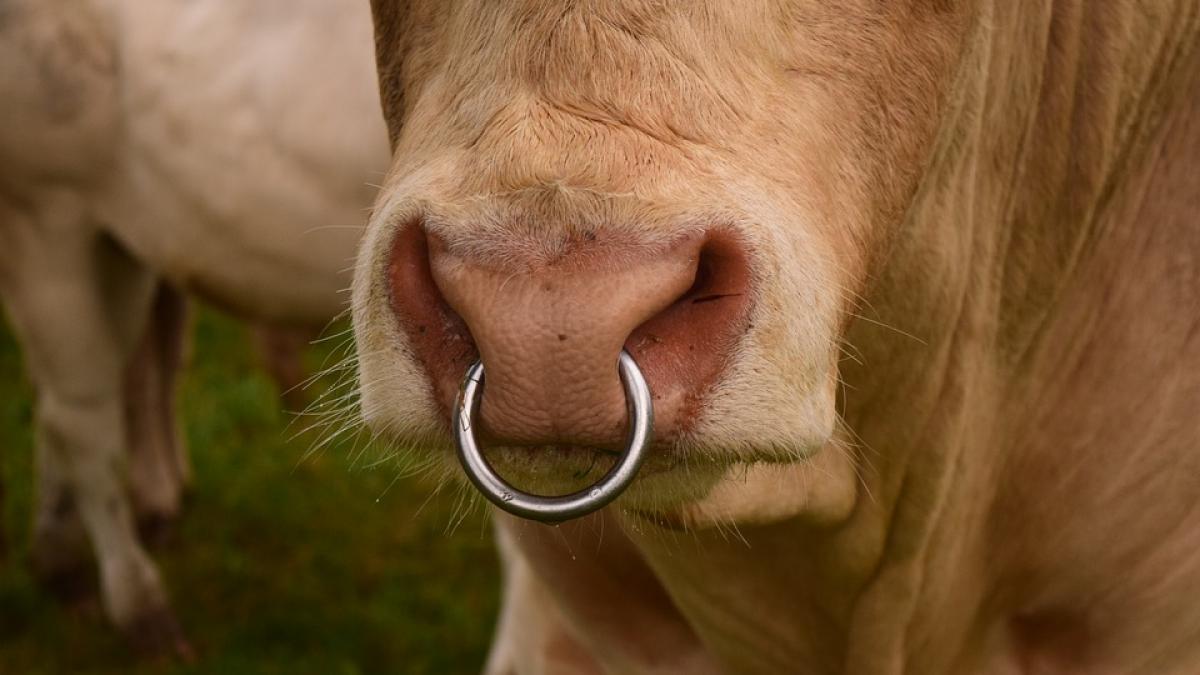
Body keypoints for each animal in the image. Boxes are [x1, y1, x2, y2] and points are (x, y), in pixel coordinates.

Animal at [0, 0, 387, 652]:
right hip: (46, 216)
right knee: (83, 418)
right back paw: (140, 606)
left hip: (124, 242)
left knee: (78, 395)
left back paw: (63, 565)